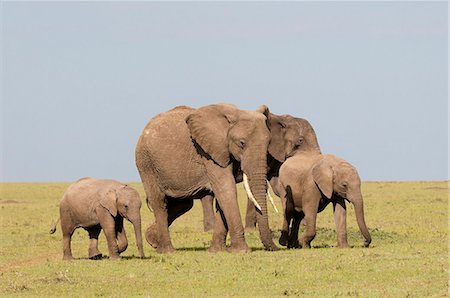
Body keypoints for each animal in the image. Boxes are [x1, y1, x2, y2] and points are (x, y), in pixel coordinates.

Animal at [134, 103, 278, 253]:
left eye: (269, 143)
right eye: (242, 143)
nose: (277, 247)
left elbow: (222, 196)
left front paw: (217, 251)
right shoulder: (208, 152)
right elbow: (226, 190)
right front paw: (241, 251)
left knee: (183, 204)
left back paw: (153, 241)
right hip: (146, 163)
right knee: (159, 202)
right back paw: (167, 251)